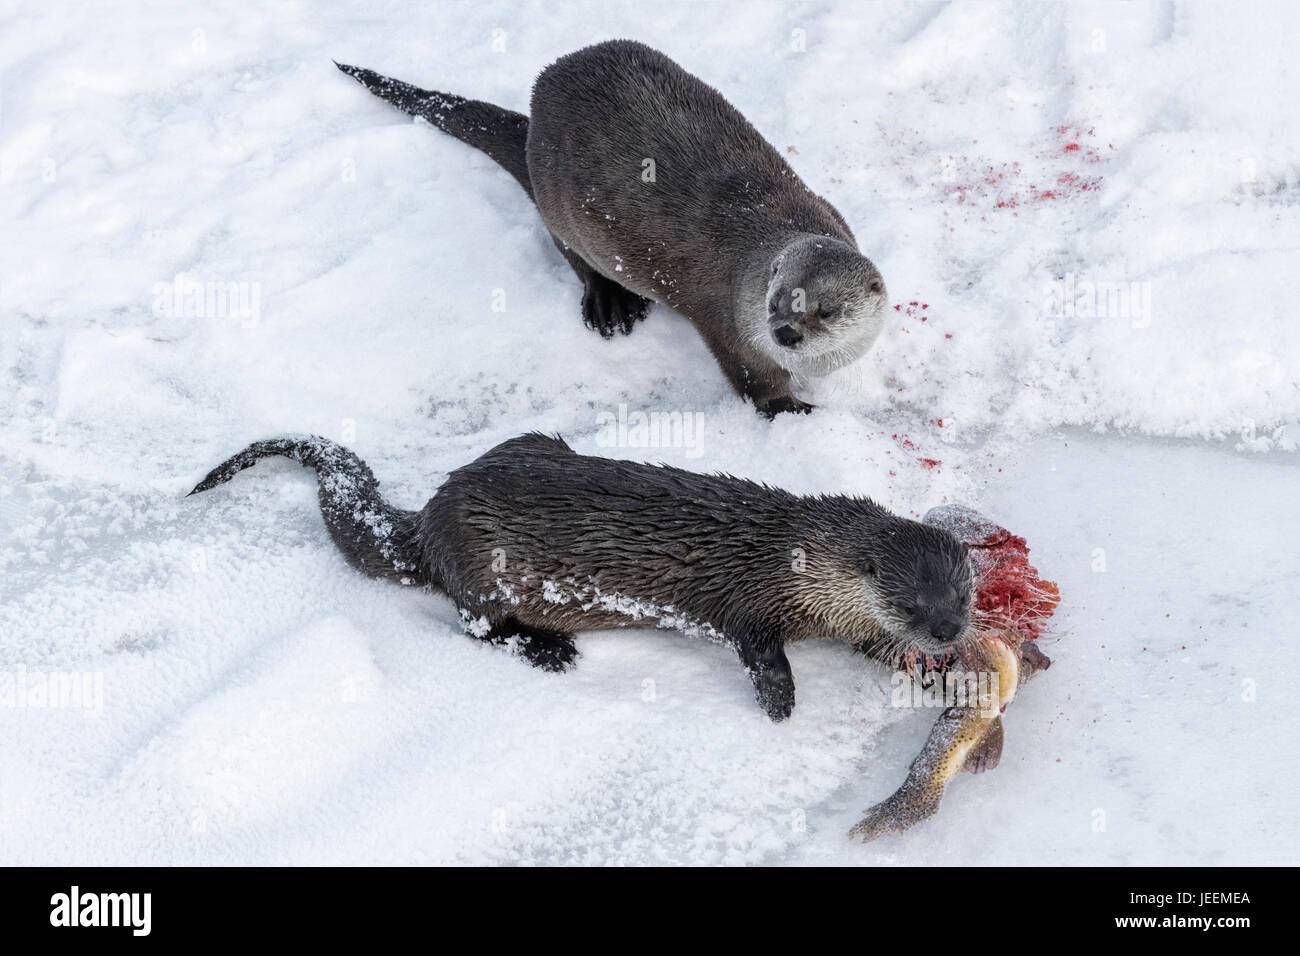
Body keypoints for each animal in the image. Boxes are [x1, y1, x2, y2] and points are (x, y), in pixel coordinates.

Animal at [335, 40, 889, 416]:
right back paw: (609, 303)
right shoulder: (730, 326)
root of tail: (535, 113)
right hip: (559, 208)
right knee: (573, 254)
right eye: (775, 302)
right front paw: (796, 412)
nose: (785, 332)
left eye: (827, 309)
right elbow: (758, 387)